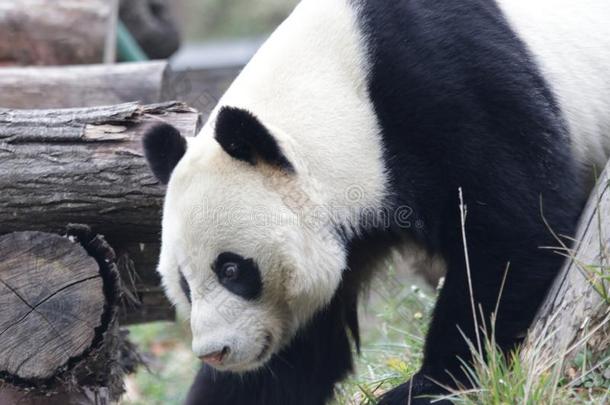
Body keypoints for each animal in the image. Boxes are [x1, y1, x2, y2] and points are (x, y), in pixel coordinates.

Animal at [142, 0, 608, 404]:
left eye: (232, 269)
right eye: (184, 284)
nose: (214, 351)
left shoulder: (455, 86)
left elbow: (514, 230)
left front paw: (429, 385)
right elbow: (297, 354)